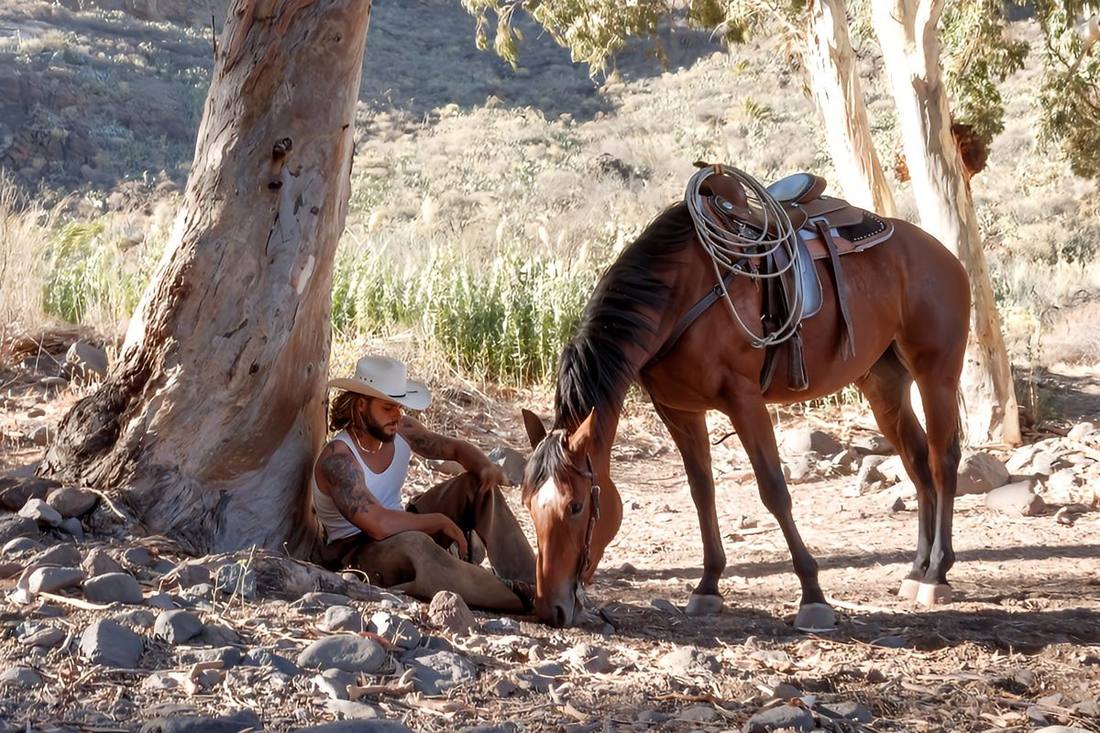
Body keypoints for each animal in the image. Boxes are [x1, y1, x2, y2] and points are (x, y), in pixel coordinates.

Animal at [519, 169, 970, 629]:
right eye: (528, 506)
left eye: (576, 506)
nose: (550, 607)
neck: (678, 294)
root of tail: (942, 254)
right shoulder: (679, 410)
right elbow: (702, 492)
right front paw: (707, 586)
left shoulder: (744, 400)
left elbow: (774, 490)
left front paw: (813, 596)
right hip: (883, 384)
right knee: (916, 462)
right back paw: (916, 569)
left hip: (936, 374)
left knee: (942, 460)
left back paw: (936, 573)